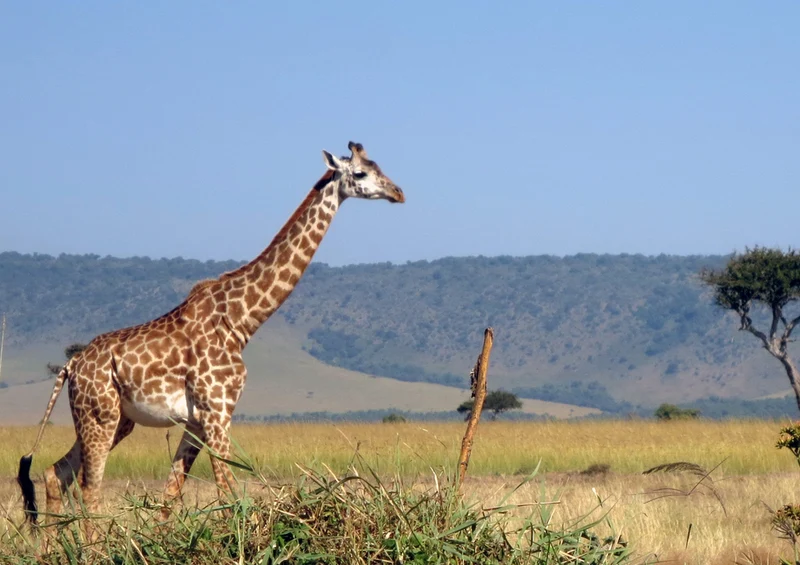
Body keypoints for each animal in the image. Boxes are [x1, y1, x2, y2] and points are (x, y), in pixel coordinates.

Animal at [18, 141, 404, 527]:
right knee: (89, 486)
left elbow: (171, 497)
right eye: (361, 173)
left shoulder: (197, 419)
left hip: (115, 420)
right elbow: (229, 493)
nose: (398, 193)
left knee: (56, 473)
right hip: (100, 415)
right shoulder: (218, 410)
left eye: (379, 166)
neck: (241, 321)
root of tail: (72, 367)